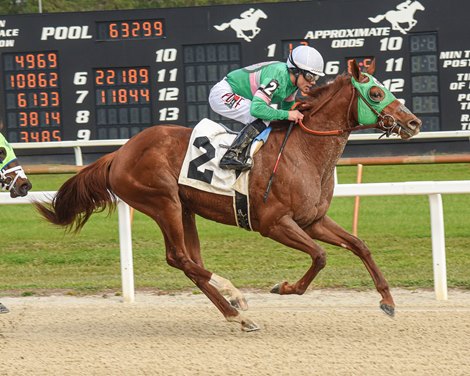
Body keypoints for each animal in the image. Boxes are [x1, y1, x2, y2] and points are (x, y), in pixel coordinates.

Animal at [35, 60, 420, 330]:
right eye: (375, 94)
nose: (413, 122)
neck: (304, 151)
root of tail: (119, 153)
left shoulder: (313, 220)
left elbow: (358, 245)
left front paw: (388, 300)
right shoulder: (273, 223)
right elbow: (321, 256)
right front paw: (283, 287)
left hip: (184, 208)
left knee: (190, 262)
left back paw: (235, 310)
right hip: (162, 203)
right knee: (180, 258)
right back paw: (236, 300)